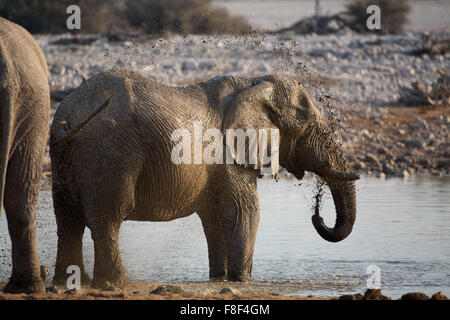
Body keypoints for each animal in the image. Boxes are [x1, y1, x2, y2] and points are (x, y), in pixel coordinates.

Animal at [50, 69, 358, 288]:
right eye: (307, 127)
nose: (317, 213)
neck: (253, 83)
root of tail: (74, 109)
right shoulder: (229, 153)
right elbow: (245, 212)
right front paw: (244, 282)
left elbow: (216, 218)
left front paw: (219, 279)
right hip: (112, 153)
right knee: (107, 221)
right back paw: (114, 285)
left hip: (63, 155)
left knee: (67, 222)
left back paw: (71, 283)